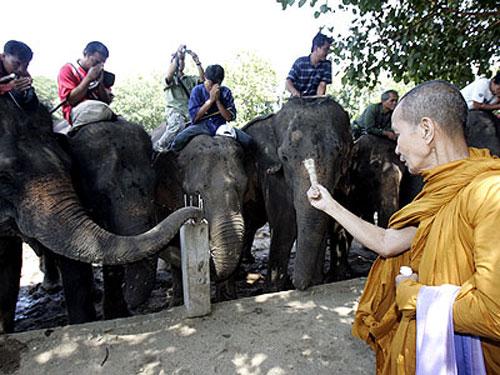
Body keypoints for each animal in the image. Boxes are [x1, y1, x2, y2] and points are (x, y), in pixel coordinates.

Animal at [0, 97, 199, 334]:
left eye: (153, 185)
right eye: (100, 195)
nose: (196, 213)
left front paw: (117, 315)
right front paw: (85, 323)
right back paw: (51, 286)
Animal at [241, 97, 352, 290]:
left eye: (339, 153)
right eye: (284, 157)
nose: (298, 284)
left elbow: (323, 221)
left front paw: (316, 282)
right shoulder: (272, 171)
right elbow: (286, 221)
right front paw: (274, 289)